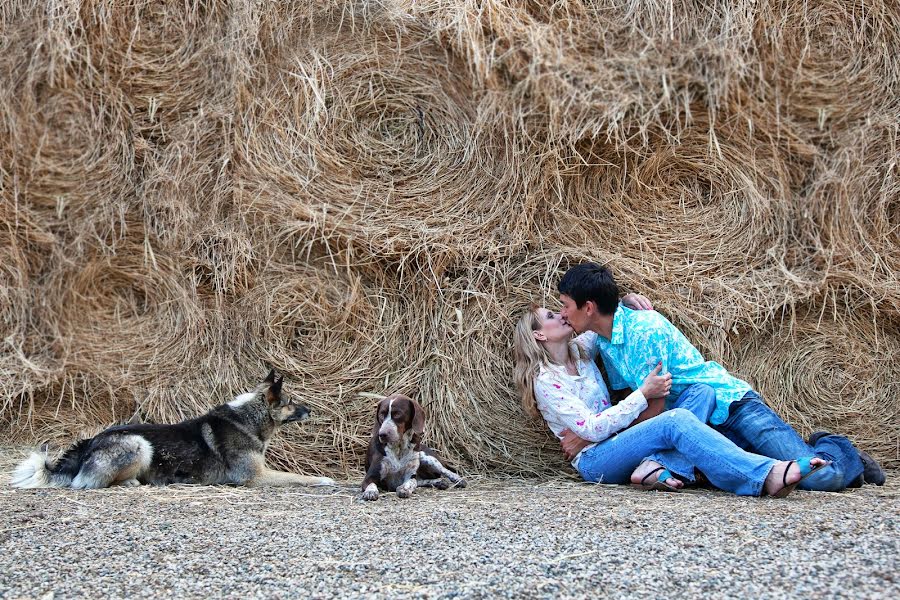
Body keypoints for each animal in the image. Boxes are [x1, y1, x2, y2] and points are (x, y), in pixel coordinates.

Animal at [11, 368, 334, 490]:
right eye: (291, 402)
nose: (310, 410)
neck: (247, 418)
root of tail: (89, 443)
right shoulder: (255, 476)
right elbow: (298, 477)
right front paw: (324, 479)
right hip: (140, 444)